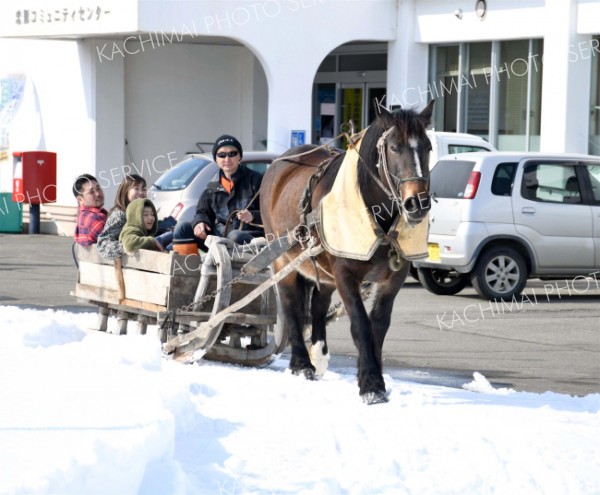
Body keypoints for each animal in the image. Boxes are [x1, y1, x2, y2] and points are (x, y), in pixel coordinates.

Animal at [260, 100, 434, 404]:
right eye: (394, 147)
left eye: (428, 147)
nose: (418, 203)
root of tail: (279, 164)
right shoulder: (344, 273)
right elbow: (360, 324)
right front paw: (371, 385)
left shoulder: (394, 278)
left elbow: (378, 325)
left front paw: (373, 376)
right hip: (283, 259)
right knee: (291, 304)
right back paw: (301, 364)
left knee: (318, 304)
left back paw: (318, 356)